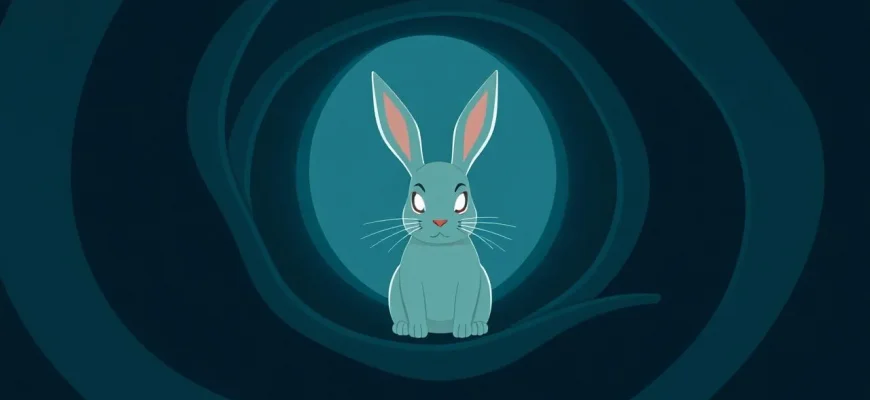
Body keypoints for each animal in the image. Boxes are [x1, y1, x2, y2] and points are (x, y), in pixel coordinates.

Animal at [370, 70, 499, 339]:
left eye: (462, 200)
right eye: (417, 201)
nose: (440, 221)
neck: (440, 253)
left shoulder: (471, 283)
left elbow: (465, 305)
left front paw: (463, 331)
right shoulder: (409, 283)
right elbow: (415, 305)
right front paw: (417, 331)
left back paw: (478, 327)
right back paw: (402, 327)